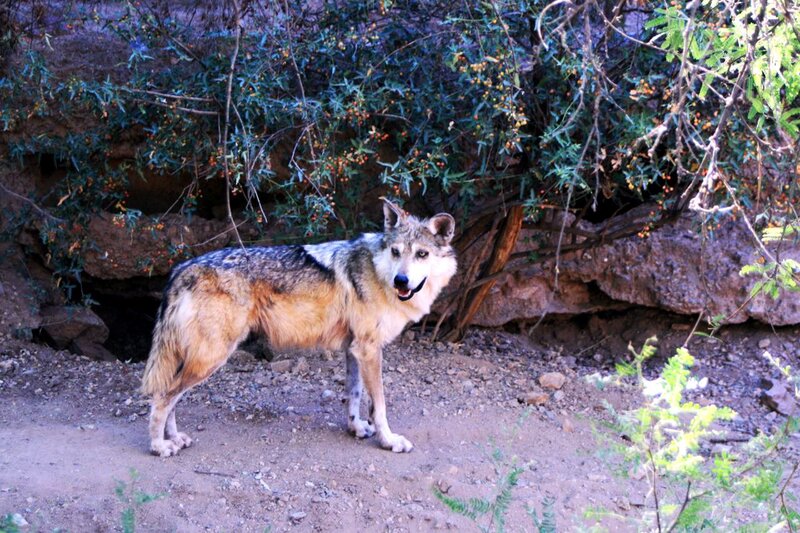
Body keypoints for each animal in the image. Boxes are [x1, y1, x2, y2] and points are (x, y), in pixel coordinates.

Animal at [141, 199, 457, 457]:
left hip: (196, 359)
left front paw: (356, 429)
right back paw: (159, 446)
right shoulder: (369, 349)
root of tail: (182, 268)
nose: (401, 281)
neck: (376, 272)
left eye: (422, 254)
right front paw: (389, 441)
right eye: (395, 251)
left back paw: (174, 438)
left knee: (171, 397)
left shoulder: (355, 349)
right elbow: (379, 406)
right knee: (162, 397)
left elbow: (354, 394)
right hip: (210, 358)